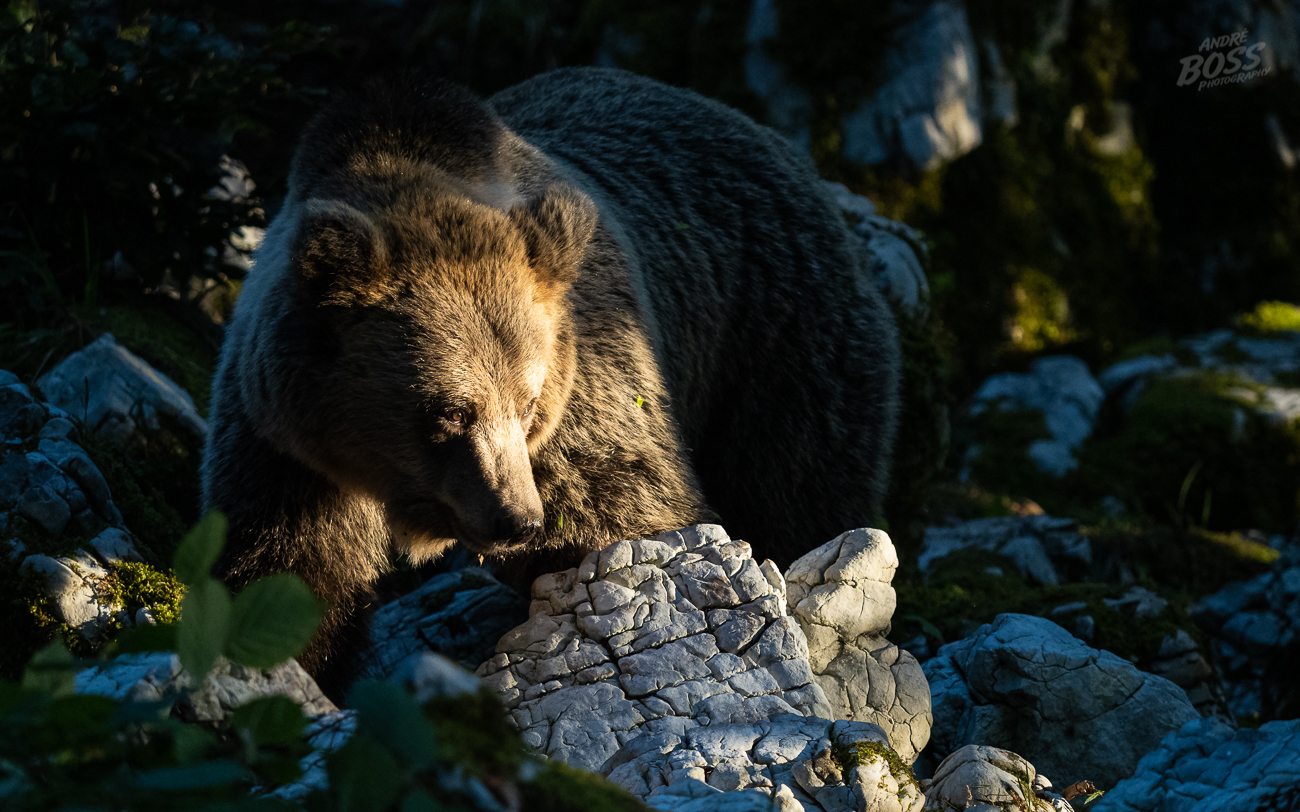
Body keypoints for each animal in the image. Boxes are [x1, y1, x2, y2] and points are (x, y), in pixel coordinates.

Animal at [202, 66, 899, 691]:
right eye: (451, 409)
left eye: (528, 401)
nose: (519, 519)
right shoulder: (287, 452)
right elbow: (289, 574)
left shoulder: (587, 389)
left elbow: (624, 521)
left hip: (778, 341)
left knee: (799, 485)